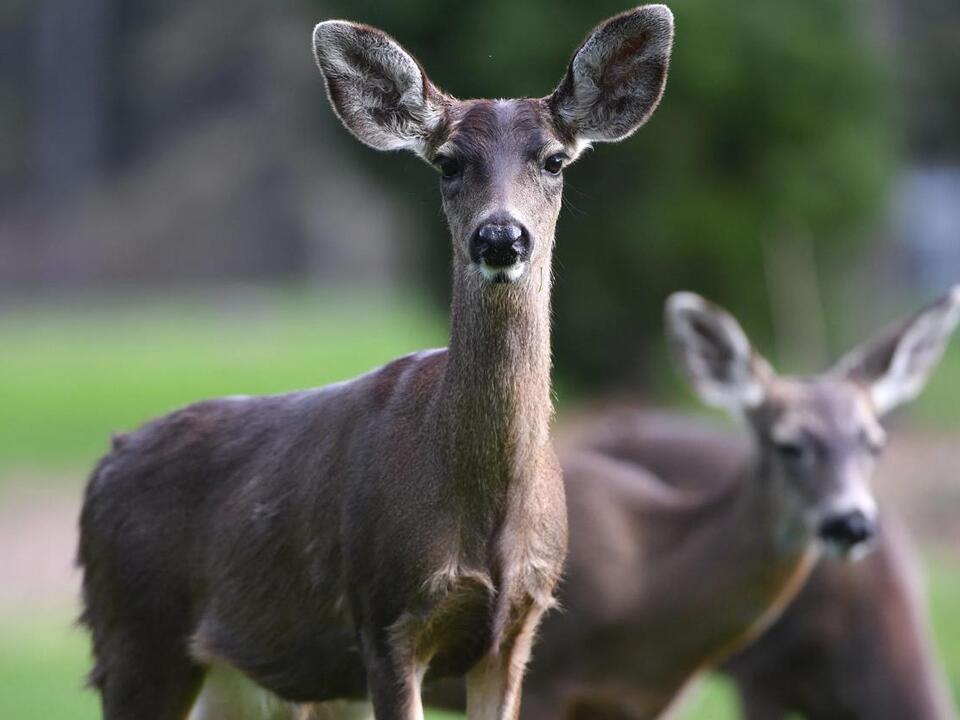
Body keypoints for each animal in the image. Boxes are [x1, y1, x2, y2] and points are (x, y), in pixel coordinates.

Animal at [76, 7, 675, 720]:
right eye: (447, 163)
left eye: (555, 160)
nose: (500, 237)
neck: (486, 515)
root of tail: (106, 463)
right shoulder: (385, 615)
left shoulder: (518, 623)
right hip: (133, 633)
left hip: (241, 677)